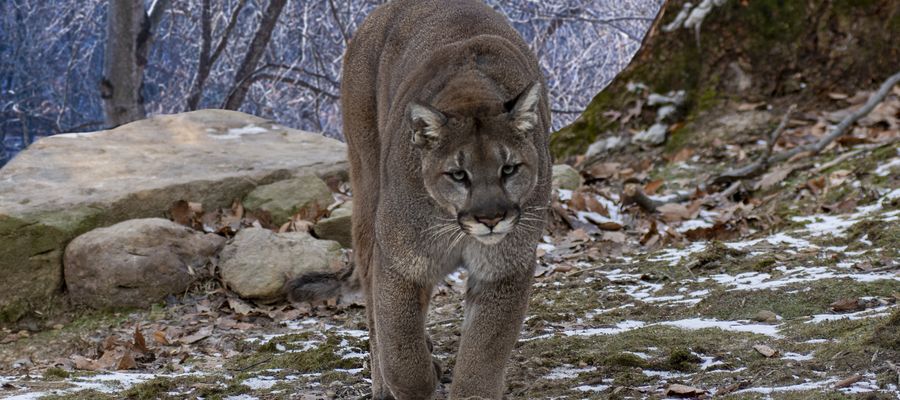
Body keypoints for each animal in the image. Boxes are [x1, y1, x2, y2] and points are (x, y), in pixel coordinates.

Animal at [292, 0, 552, 396]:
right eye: (458, 174)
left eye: (509, 169)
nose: (490, 218)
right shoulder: (401, 263)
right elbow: (401, 350)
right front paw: (417, 378)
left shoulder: (503, 268)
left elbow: (483, 355)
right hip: (367, 186)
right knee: (372, 304)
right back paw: (384, 383)